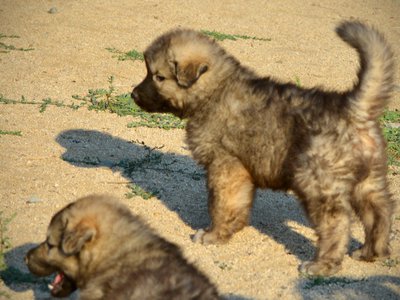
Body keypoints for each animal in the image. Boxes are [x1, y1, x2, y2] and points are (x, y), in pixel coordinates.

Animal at [130, 21, 394, 276]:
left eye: (158, 77)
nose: (133, 94)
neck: (215, 91)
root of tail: (354, 109)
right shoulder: (238, 170)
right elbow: (236, 205)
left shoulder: (225, 165)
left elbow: (221, 204)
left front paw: (213, 235)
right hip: (369, 181)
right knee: (379, 214)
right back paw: (371, 252)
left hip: (317, 182)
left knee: (336, 224)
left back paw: (322, 265)